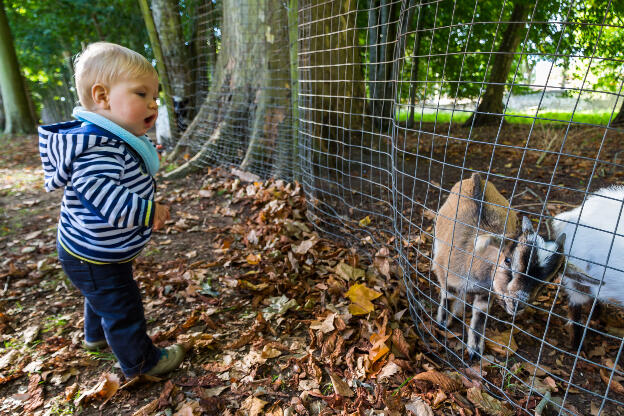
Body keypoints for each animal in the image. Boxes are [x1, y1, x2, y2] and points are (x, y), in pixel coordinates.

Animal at [434, 172, 564, 358]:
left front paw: (475, 349)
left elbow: (480, 316)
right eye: (507, 260)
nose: (518, 304)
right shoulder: (446, 276)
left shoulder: (486, 293)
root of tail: (476, 178)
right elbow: (448, 297)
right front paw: (443, 324)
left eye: (547, 281)